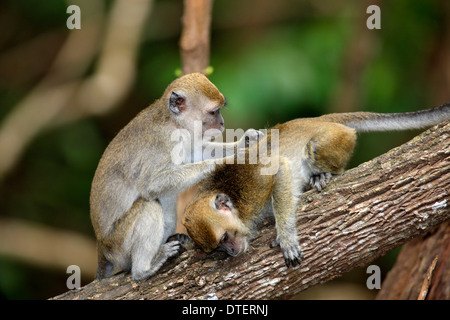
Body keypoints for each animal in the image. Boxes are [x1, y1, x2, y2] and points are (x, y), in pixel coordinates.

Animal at [89, 73, 262, 280]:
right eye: (214, 112)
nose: (222, 123)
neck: (174, 123)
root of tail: (102, 248)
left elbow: (197, 152)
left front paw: (246, 141)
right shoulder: (163, 141)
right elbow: (152, 185)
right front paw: (227, 160)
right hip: (119, 245)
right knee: (148, 206)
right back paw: (143, 269)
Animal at [182, 103, 450, 268]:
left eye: (225, 238)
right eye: (218, 248)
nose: (231, 251)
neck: (236, 202)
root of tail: (314, 119)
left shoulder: (252, 189)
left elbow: (280, 170)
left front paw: (286, 237)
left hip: (337, 136)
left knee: (314, 147)